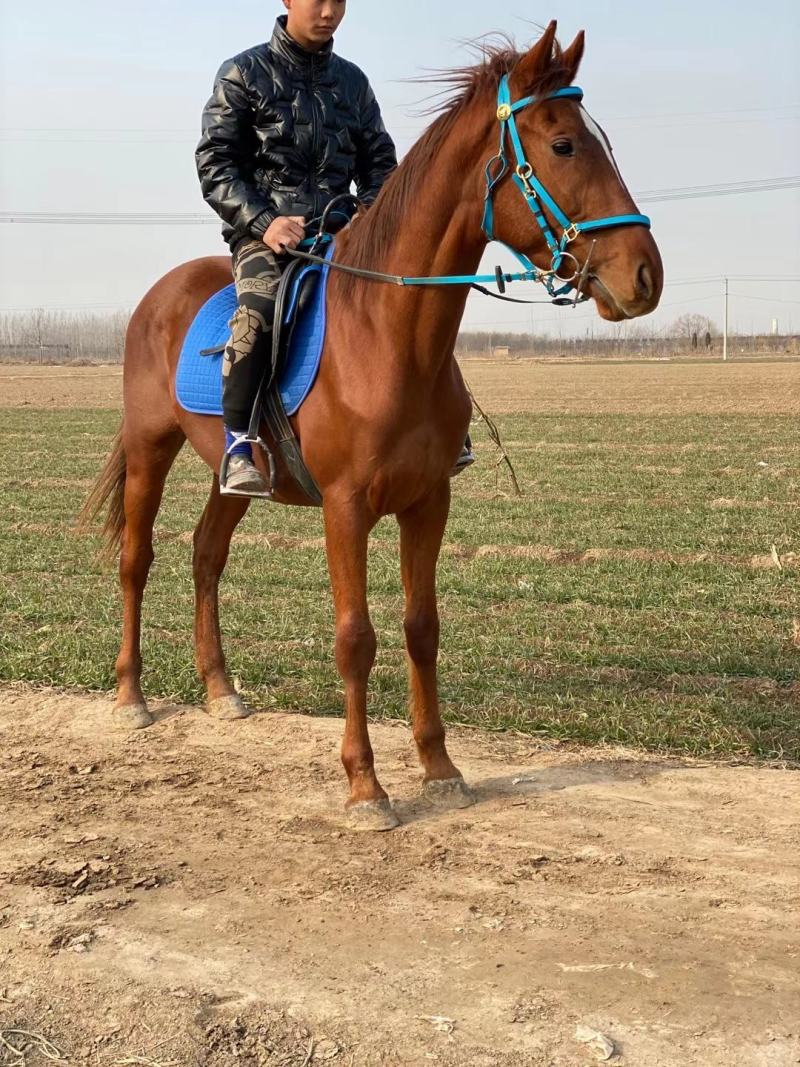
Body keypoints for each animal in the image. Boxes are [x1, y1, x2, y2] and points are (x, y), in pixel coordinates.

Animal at [83, 22, 663, 831]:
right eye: (564, 146)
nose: (645, 276)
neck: (390, 336)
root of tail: (159, 294)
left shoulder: (428, 503)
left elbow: (422, 627)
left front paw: (440, 767)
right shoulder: (346, 508)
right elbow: (356, 637)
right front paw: (365, 786)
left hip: (235, 475)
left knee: (205, 554)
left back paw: (222, 692)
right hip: (149, 449)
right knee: (138, 560)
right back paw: (130, 697)